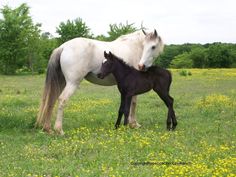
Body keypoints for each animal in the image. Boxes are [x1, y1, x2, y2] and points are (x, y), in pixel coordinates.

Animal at [36, 29, 164, 134]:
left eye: (153, 46)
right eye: (146, 45)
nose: (141, 66)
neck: (134, 47)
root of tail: (63, 47)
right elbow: (134, 103)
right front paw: (134, 124)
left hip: (61, 82)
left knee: (51, 100)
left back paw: (48, 129)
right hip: (72, 83)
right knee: (62, 100)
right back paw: (59, 130)